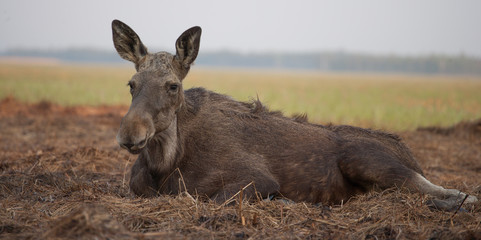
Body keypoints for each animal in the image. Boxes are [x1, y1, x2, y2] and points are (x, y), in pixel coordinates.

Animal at [111, 19, 476, 209]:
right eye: (131, 84)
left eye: (172, 85)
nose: (130, 134)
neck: (164, 163)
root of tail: (409, 151)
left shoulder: (256, 178)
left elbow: (212, 200)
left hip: (367, 159)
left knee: (446, 190)